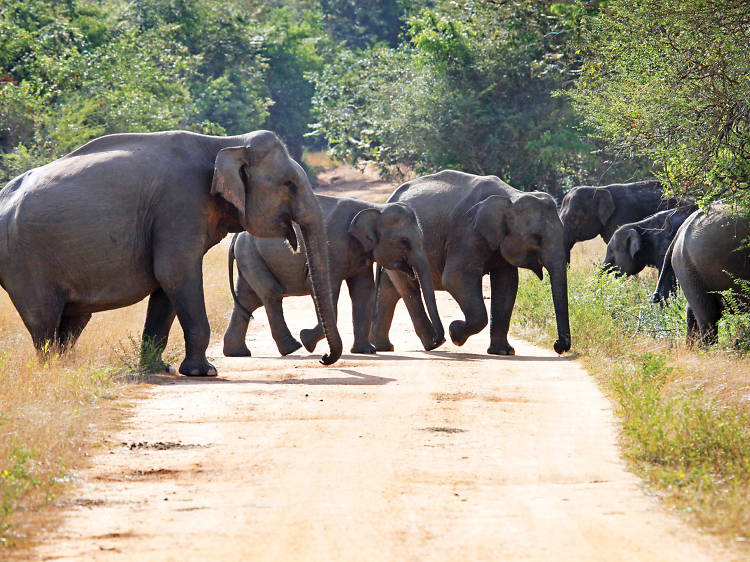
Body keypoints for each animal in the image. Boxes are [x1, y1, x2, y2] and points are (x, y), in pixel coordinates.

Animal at [0, 130, 344, 374]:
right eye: (289, 184)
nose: (322, 357)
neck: (226, 144)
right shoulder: (179, 204)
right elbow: (175, 272)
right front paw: (205, 373)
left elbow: (166, 285)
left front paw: (159, 369)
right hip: (24, 260)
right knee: (44, 319)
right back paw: (51, 372)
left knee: (72, 320)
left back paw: (67, 368)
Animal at [223, 195, 446, 356]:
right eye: (404, 242)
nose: (439, 341)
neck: (375, 207)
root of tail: (237, 236)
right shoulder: (333, 245)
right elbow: (325, 289)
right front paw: (307, 340)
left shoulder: (361, 253)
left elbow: (364, 292)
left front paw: (366, 351)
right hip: (251, 255)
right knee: (271, 293)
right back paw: (293, 348)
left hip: (250, 256)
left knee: (247, 299)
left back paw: (237, 353)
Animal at [374, 170, 572, 354]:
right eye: (537, 238)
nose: (558, 346)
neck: (511, 197)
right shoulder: (467, 231)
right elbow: (455, 278)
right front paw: (455, 333)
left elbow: (507, 283)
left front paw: (503, 352)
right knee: (408, 289)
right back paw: (433, 344)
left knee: (390, 290)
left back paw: (385, 347)